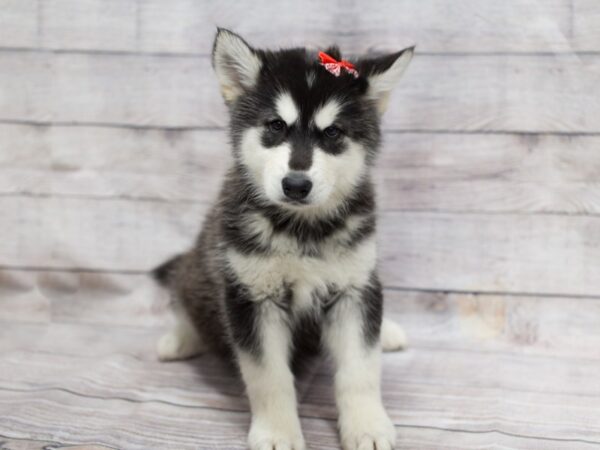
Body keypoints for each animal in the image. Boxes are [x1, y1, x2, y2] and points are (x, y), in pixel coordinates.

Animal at [152, 29, 412, 450]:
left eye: (333, 132)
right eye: (275, 125)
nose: (296, 184)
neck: (302, 230)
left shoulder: (353, 288)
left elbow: (360, 368)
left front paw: (368, 426)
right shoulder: (251, 295)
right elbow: (268, 377)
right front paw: (277, 432)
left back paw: (387, 331)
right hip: (200, 268)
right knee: (184, 293)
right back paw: (179, 338)